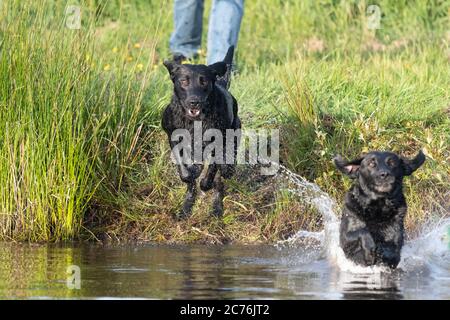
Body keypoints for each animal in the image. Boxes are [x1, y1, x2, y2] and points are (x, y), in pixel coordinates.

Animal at [161, 46, 241, 219]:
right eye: (184, 81)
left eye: (203, 81)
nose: (194, 101)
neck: (195, 121)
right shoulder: (173, 137)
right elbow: (185, 170)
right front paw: (191, 172)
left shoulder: (218, 141)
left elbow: (212, 169)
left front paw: (205, 182)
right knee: (192, 188)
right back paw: (186, 207)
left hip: (236, 129)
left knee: (220, 181)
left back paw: (217, 207)